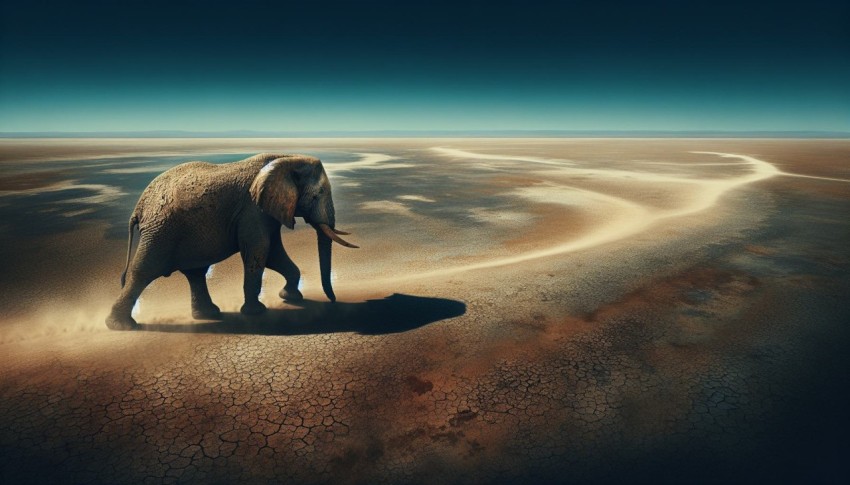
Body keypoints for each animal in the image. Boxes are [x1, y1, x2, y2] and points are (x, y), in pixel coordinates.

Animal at [105, 153, 358, 330]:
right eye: (317, 195)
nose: (333, 302)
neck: (287, 158)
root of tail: (139, 206)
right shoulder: (252, 210)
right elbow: (259, 251)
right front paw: (256, 312)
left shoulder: (265, 212)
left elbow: (273, 254)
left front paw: (290, 298)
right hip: (160, 230)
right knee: (144, 271)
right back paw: (121, 326)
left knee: (196, 273)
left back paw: (209, 315)